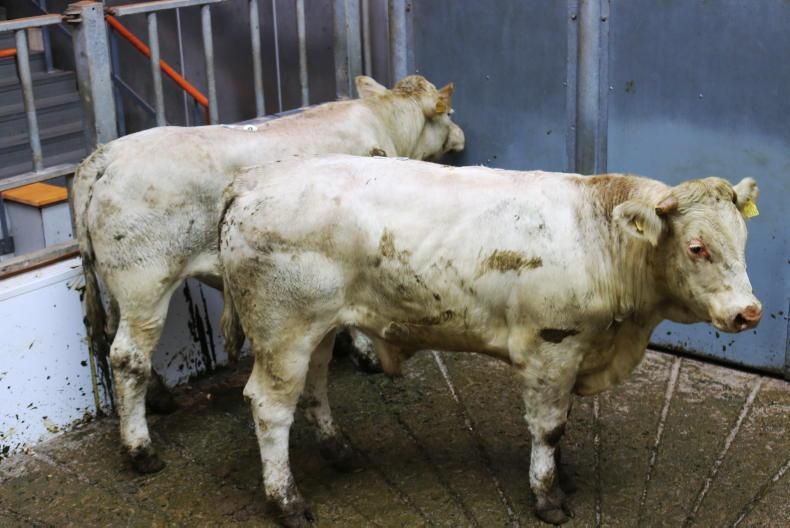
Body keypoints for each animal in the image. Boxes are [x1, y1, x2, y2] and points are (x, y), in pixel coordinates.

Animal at [71, 76, 465, 475]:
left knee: (113, 336)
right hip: (146, 282)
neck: (383, 121)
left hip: (118, 285)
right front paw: (364, 353)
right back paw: (141, 449)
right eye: (448, 112)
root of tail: (106, 154)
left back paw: (159, 397)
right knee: (128, 355)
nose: (461, 135)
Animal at [218, 155, 762, 526]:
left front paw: (562, 477)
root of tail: (252, 180)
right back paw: (287, 501)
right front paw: (547, 495)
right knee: (270, 407)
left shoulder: (575, 353)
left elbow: (563, 421)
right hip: (282, 331)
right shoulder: (551, 348)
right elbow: (549, 428)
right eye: (697, 247)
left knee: (314, 387)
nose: (749, 311)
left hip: (318, 327)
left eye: (743, 239)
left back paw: (338, 452)